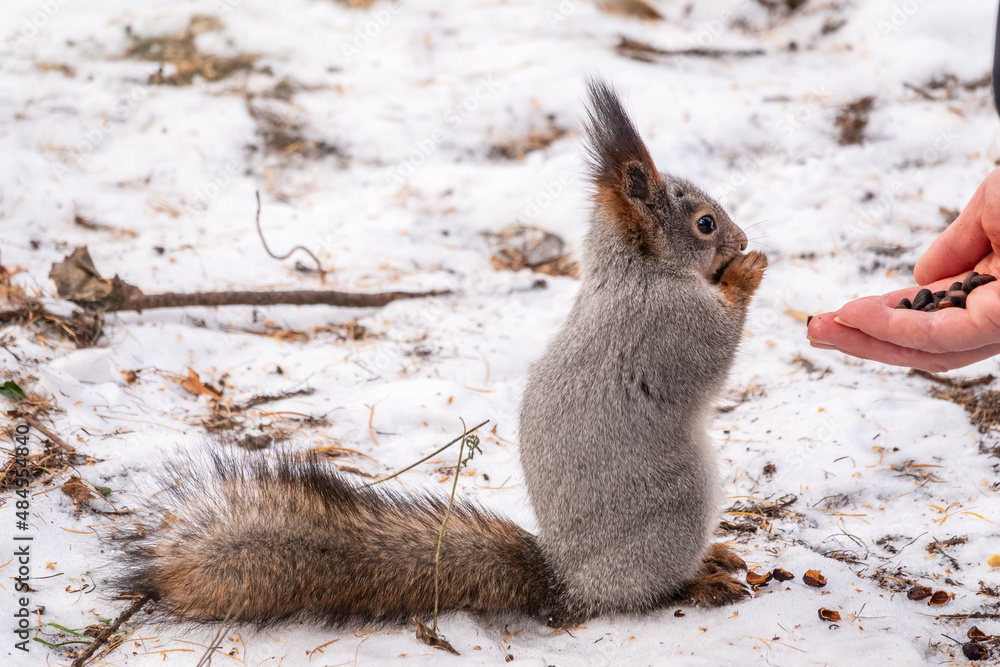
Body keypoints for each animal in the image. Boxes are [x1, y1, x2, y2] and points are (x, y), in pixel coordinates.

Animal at [118, 78, 767, 627]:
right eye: (705, 224)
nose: (741, 239)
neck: (638, 274)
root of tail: (573, 584)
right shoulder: (671, 327)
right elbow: (713, 353)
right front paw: (746, 273)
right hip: (678, 509)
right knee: (650, 594)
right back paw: (698, 581)